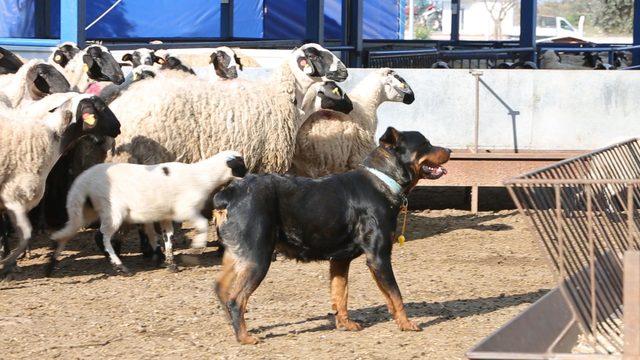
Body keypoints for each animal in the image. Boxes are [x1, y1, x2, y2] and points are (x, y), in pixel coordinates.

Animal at [0, 94, 121, 274]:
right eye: (102, 108)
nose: (118, 127)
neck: (53, 136)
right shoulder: (15, 195)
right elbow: (25, 235)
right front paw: (8, 262)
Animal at [214, 126, 450, 344]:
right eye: (426, 144)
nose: (448, 149)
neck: (384, 179)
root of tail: (230, 193)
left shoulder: (340, 259)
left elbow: (341, 294)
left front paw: (345, 323)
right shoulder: (379, 257)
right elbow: (396, 294)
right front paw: (406, 323)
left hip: (237, 254)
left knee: (221, 289)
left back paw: (234, 326)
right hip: (258, 257)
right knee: (236, 299)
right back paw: (245, 337)